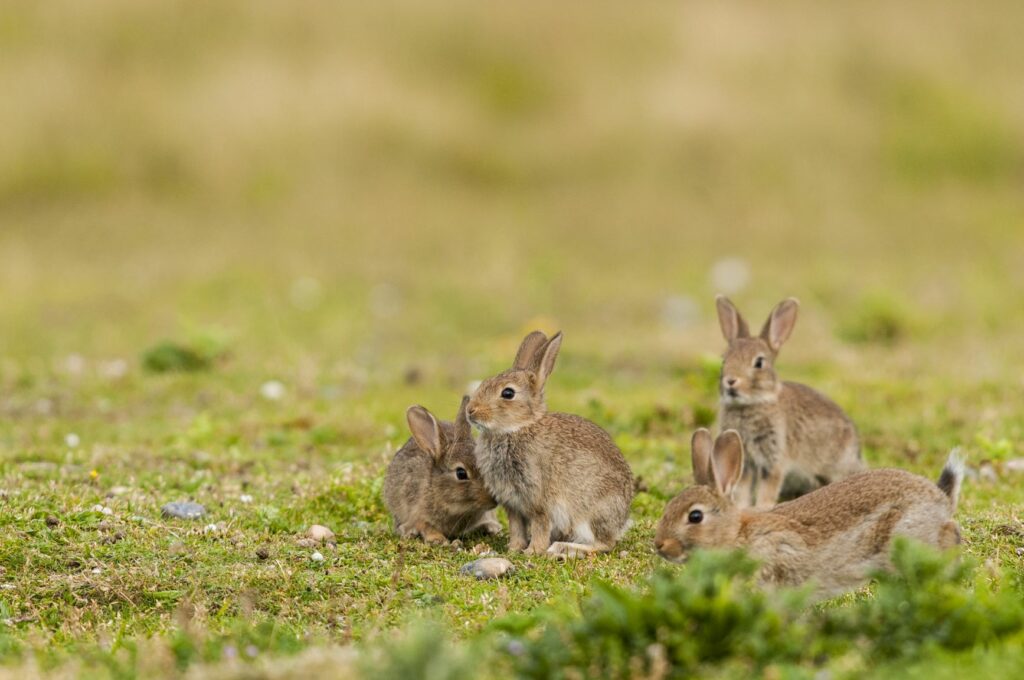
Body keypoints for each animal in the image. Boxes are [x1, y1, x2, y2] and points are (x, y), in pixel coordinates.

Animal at [466, 329, 630, 557]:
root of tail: (623, 520)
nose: (470, 410)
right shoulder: (513, 505)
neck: (517, 428)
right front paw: (513, 549)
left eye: (508, 393)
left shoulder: (539, 501)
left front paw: (533, 551)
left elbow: (540, 526)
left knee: (604, 544)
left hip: (590, 513)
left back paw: (562, 548)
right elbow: (516, 528)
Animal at [712, 294, 864, 507]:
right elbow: (742, 491)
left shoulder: (774, 460)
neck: (751, 403)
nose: (731, 381)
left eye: (759, 362)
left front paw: (761, 509)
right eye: (724, 360)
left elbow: (768, 490)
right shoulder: (746, 463)